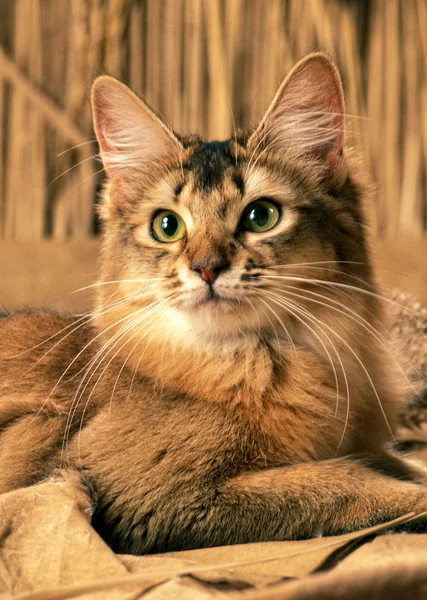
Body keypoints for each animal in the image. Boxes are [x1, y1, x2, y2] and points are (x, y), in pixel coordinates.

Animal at [0, 51, 427, 552]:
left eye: (261, 216)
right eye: (167, 226)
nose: (207, 268)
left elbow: (393, 462)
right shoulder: (147, 492)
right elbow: (338, 481)